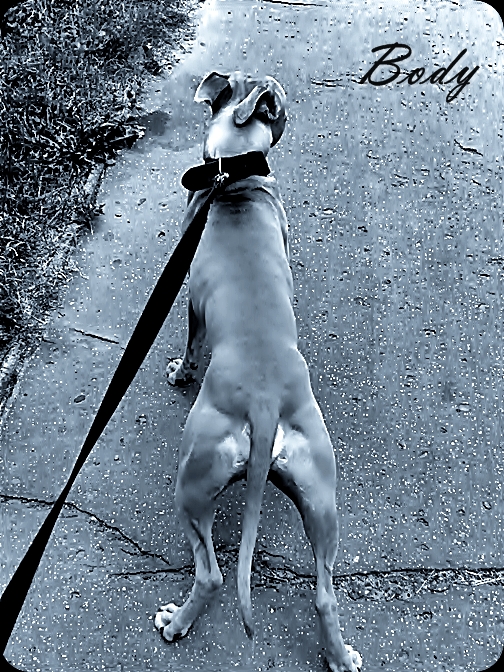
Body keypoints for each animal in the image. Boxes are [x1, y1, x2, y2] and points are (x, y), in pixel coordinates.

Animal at [154, 72, 362, 672]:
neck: (235, 177)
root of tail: (266, 403)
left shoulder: (191, 303)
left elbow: (191, 342)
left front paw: (180, 371)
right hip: (321, 497)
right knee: (324, 591)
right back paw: (340, 655)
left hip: (191, 481)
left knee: (211, 574)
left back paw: (176, 623)